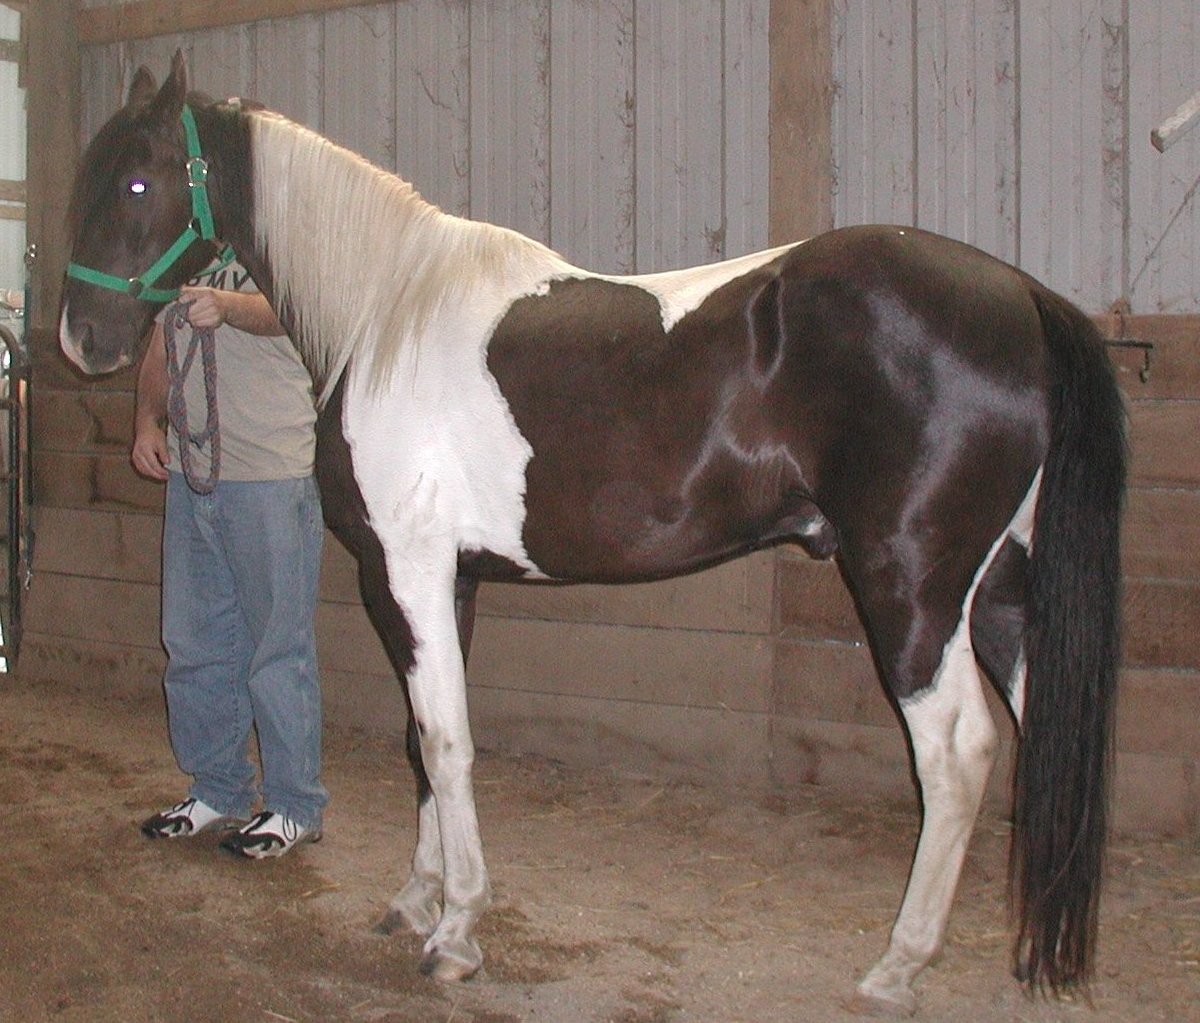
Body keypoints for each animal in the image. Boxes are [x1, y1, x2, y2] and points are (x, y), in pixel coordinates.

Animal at [59, 53, 1125, 1016]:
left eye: (139, 179)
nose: (82, 341)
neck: (385, 311)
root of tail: (1025, 297)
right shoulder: (451, 579)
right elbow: (420, 739)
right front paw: (418, 899)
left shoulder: (402, 571)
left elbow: (443, 740)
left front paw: (457, 931)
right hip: (1006, 589)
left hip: (912, 590)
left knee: (957, 754)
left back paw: (897, 966)